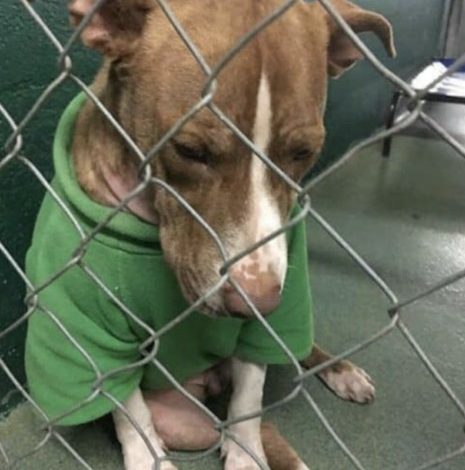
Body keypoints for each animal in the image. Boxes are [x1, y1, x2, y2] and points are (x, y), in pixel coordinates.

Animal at [24, 0, 396, 470]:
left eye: (302, 153)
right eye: (189, 151)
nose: (257, 303)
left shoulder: (272, 316)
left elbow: (249, 398)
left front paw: (246, 454)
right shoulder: (86, 329)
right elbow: (132, 414)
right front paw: (147, 458)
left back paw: (340, 372)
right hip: (185, 420)